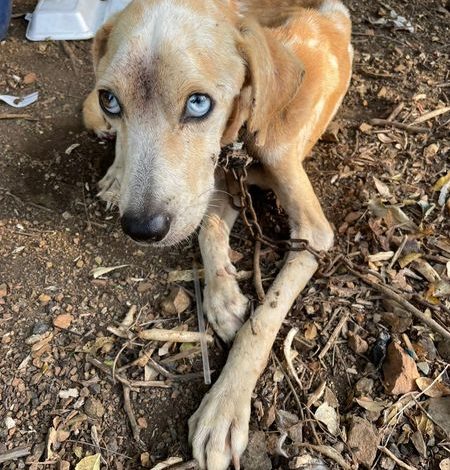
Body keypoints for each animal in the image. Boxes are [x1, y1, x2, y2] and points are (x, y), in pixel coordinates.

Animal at [82, 1, 354, 468]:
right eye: (110, 99)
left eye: (198, 103)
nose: (141, 229)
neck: (243, 135)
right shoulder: (215, 186)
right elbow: (207, 230)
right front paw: (223, 300)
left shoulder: (312, 235)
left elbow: (263, 320)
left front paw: (224, 406)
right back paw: (116, 176)